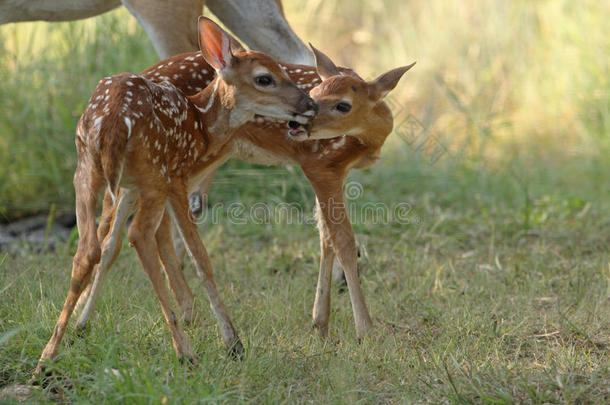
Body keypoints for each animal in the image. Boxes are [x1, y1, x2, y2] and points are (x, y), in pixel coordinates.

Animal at [33, 16, 316, 372]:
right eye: (264, 78)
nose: (310, 104)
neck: (201, 123)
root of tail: (113, 119)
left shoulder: (130, 185)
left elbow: (110, 247)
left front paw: (81, 326)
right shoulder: (176, 178)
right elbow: (200, 257)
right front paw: (233, 342)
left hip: (86, 170)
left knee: (88, 249)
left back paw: (47, 355)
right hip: (154, 174)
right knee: (140, 235)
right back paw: (185, 351)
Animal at [71, 43, 414, 340]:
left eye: (343, 104)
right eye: (315, 92)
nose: (298, 123)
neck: (371, 138)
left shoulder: (335, 172)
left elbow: (325, 237)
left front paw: (320, 322)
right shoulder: (320, 164)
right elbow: (343, 240)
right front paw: (364, 330)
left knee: (136, 227)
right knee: (131, 226)